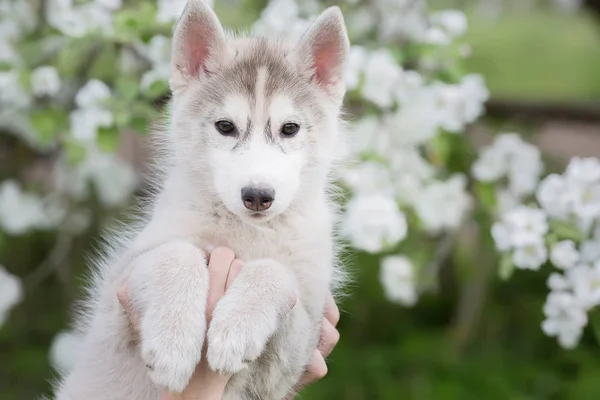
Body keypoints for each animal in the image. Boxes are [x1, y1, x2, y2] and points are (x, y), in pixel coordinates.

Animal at [54, 1, 350, 398]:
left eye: (290, 128)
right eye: (225, 127)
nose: (258, 196)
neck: (247, 232)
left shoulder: (296, 350)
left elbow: (275, 270)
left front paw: (236, 328)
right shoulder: (116, 297)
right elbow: (175, 254)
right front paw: (173, 343)